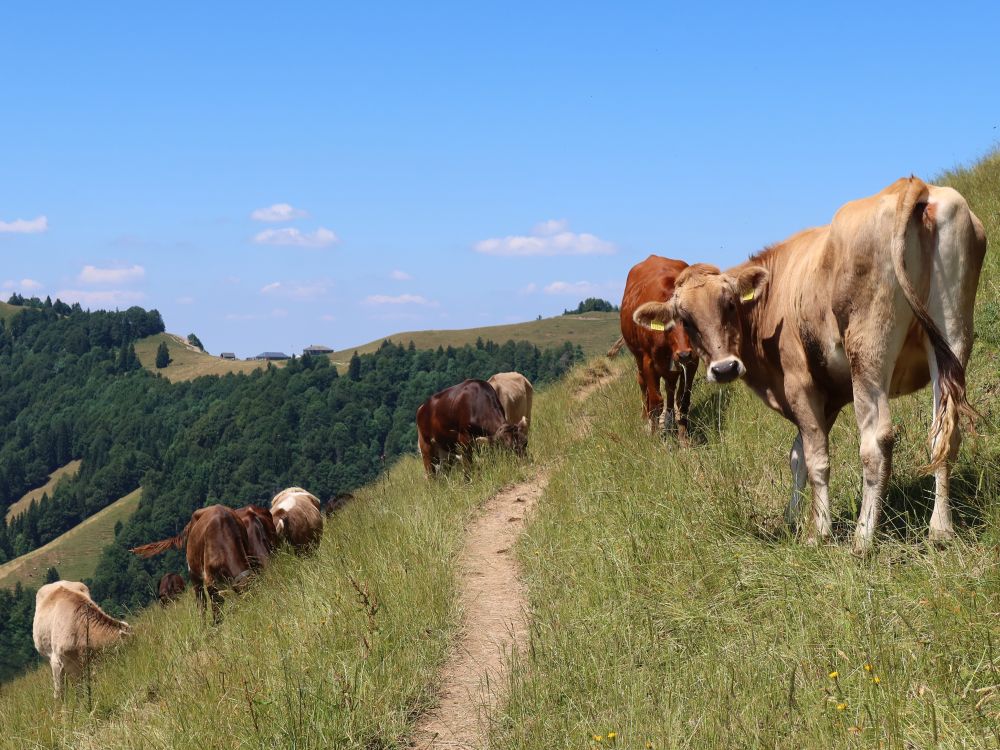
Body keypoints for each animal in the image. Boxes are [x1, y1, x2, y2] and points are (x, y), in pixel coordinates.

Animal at [616, 256, 696, 440]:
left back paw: (669, 420)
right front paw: (655, 437)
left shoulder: (693, 360)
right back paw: (646, 418)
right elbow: (655, 403)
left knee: (670, 388)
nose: (684, 354)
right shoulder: (649, 362)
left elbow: (683, 401)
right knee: (642, 383)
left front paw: (684, 438)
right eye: (668, 325)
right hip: (638, 358)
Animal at [632, 175, 984, 552]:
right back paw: (941, 529)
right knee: (944, 431)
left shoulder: (799, 384)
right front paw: (792, 520)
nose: (724, 368)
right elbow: (797, 455)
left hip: (868, 348)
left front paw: (818, 532)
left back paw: (863, 538)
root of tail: (911, 185)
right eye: (685, 320)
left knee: (876, 442)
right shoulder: (825, 395)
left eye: (729, 304)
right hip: (951, 334)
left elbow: (816, 460)